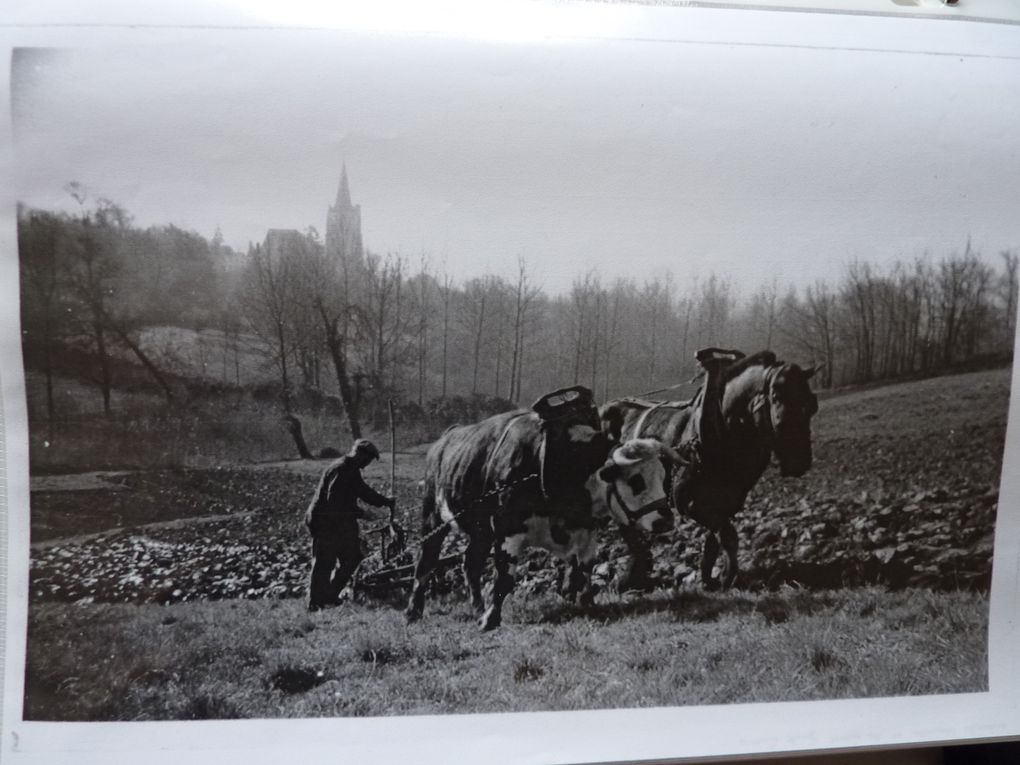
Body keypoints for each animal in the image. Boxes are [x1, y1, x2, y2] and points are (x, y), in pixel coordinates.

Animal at [599, 350, 816, 591]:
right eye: (777, 398)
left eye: (811, 404)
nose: (799, 462)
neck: (722, 429)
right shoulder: (690, 503)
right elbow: (728, 536)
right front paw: (727, 577)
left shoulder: (726, 503)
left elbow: (714, 541)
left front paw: (709, 579)